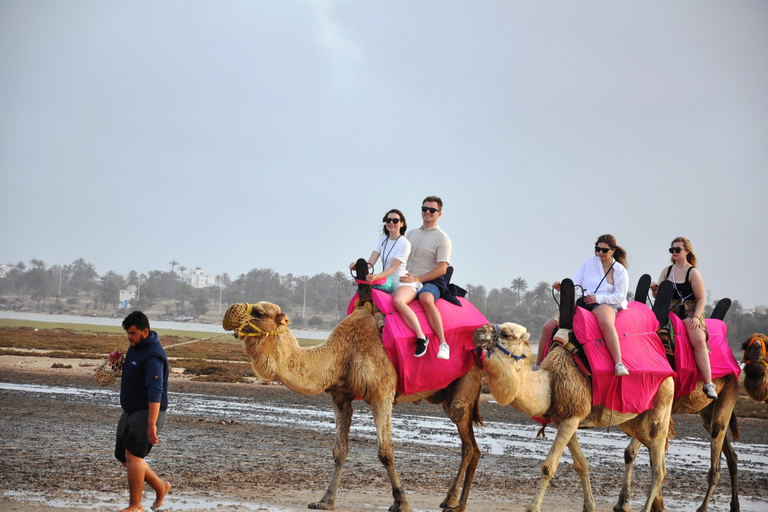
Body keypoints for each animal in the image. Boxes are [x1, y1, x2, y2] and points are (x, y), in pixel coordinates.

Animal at [222, 300, 484, 512]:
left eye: (258, 312)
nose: (229, 313)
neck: (341, 355)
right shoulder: (340, 397)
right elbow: (339, 451)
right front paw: (325, 500)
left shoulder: (382, 393)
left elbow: (385, 452)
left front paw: (401, 502)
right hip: (447, 396)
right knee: (471, 446)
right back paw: (451, 500)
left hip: (465, 385)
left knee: (468, 444)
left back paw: (457, 504)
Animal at [472, 322, 676, 512]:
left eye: (506, 334)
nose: (477, 332)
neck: (550, 382)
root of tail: (668, 371)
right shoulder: (562, 419)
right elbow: (581, 464)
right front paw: (589, 506)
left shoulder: (573, 415)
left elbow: (548, 466)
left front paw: (533, 507)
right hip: (634, 421)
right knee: (655, 452)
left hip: (662, 403)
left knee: (658, 465)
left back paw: (645, 507)